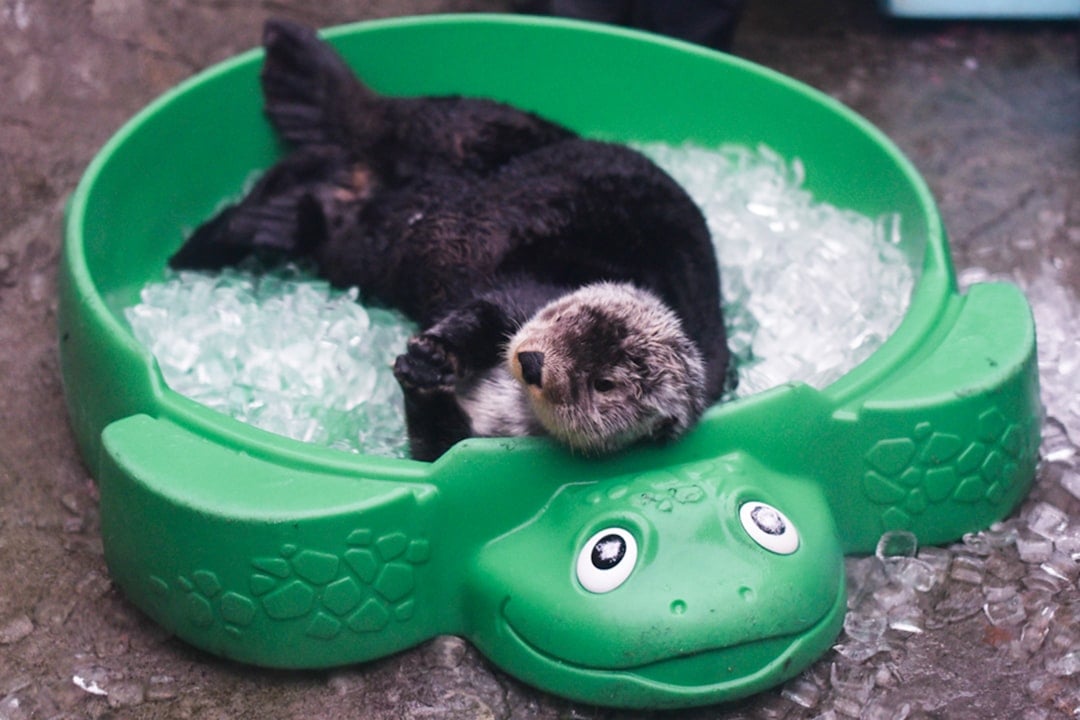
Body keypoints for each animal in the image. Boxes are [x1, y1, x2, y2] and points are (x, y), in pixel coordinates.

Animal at [170, 19, 730, 461]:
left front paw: (425, 382)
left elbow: (436, 447)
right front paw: (434, 353)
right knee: (385, 121)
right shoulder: (530, 292)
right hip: (475, 127)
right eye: (566, 317)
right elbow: (487, 308)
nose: (532, 360)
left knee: (320, 204)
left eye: (604, 383)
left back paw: (241, 226)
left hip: (358, 243)